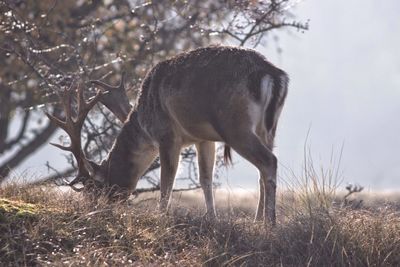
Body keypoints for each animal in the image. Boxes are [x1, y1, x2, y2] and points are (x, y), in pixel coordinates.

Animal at [47, 46, 288, 226]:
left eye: (94, 191)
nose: (93, 211)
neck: (143, 122)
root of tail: (273, 75)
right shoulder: (203, 138)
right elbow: (205, 179)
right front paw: (212, 218)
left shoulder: (167, 135)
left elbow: (167, 180)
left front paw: (161, 216)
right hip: (268, 129)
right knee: (261, 170)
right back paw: (257, 220)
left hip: (234, 125)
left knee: (269, 162)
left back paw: (270, 224)